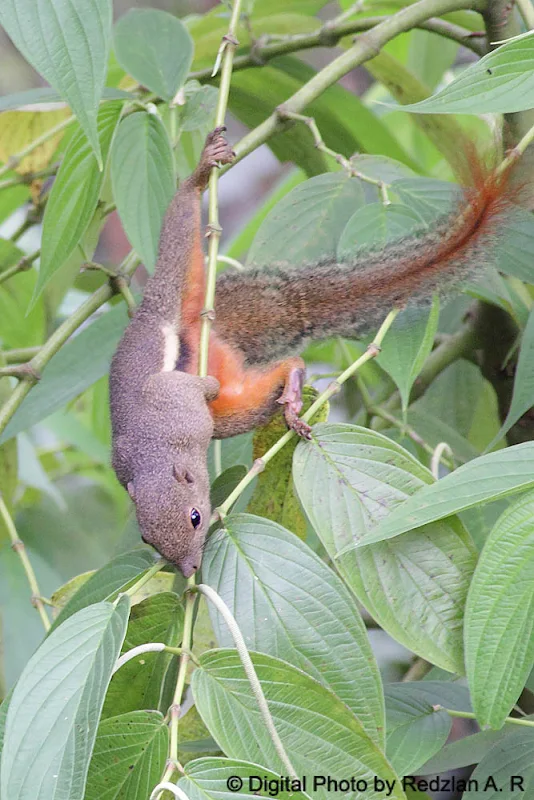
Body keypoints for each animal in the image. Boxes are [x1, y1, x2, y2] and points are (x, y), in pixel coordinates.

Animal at [110, 125, 516, 576]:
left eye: (195, 518)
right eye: (147, 539)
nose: (189, 570)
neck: (155, 450)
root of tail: (189, 318)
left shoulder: (180, 403)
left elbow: (203, 388)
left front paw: (208, 386)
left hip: (176, 279)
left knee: (182, 224)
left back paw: (199, 175)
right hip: (228, 409)